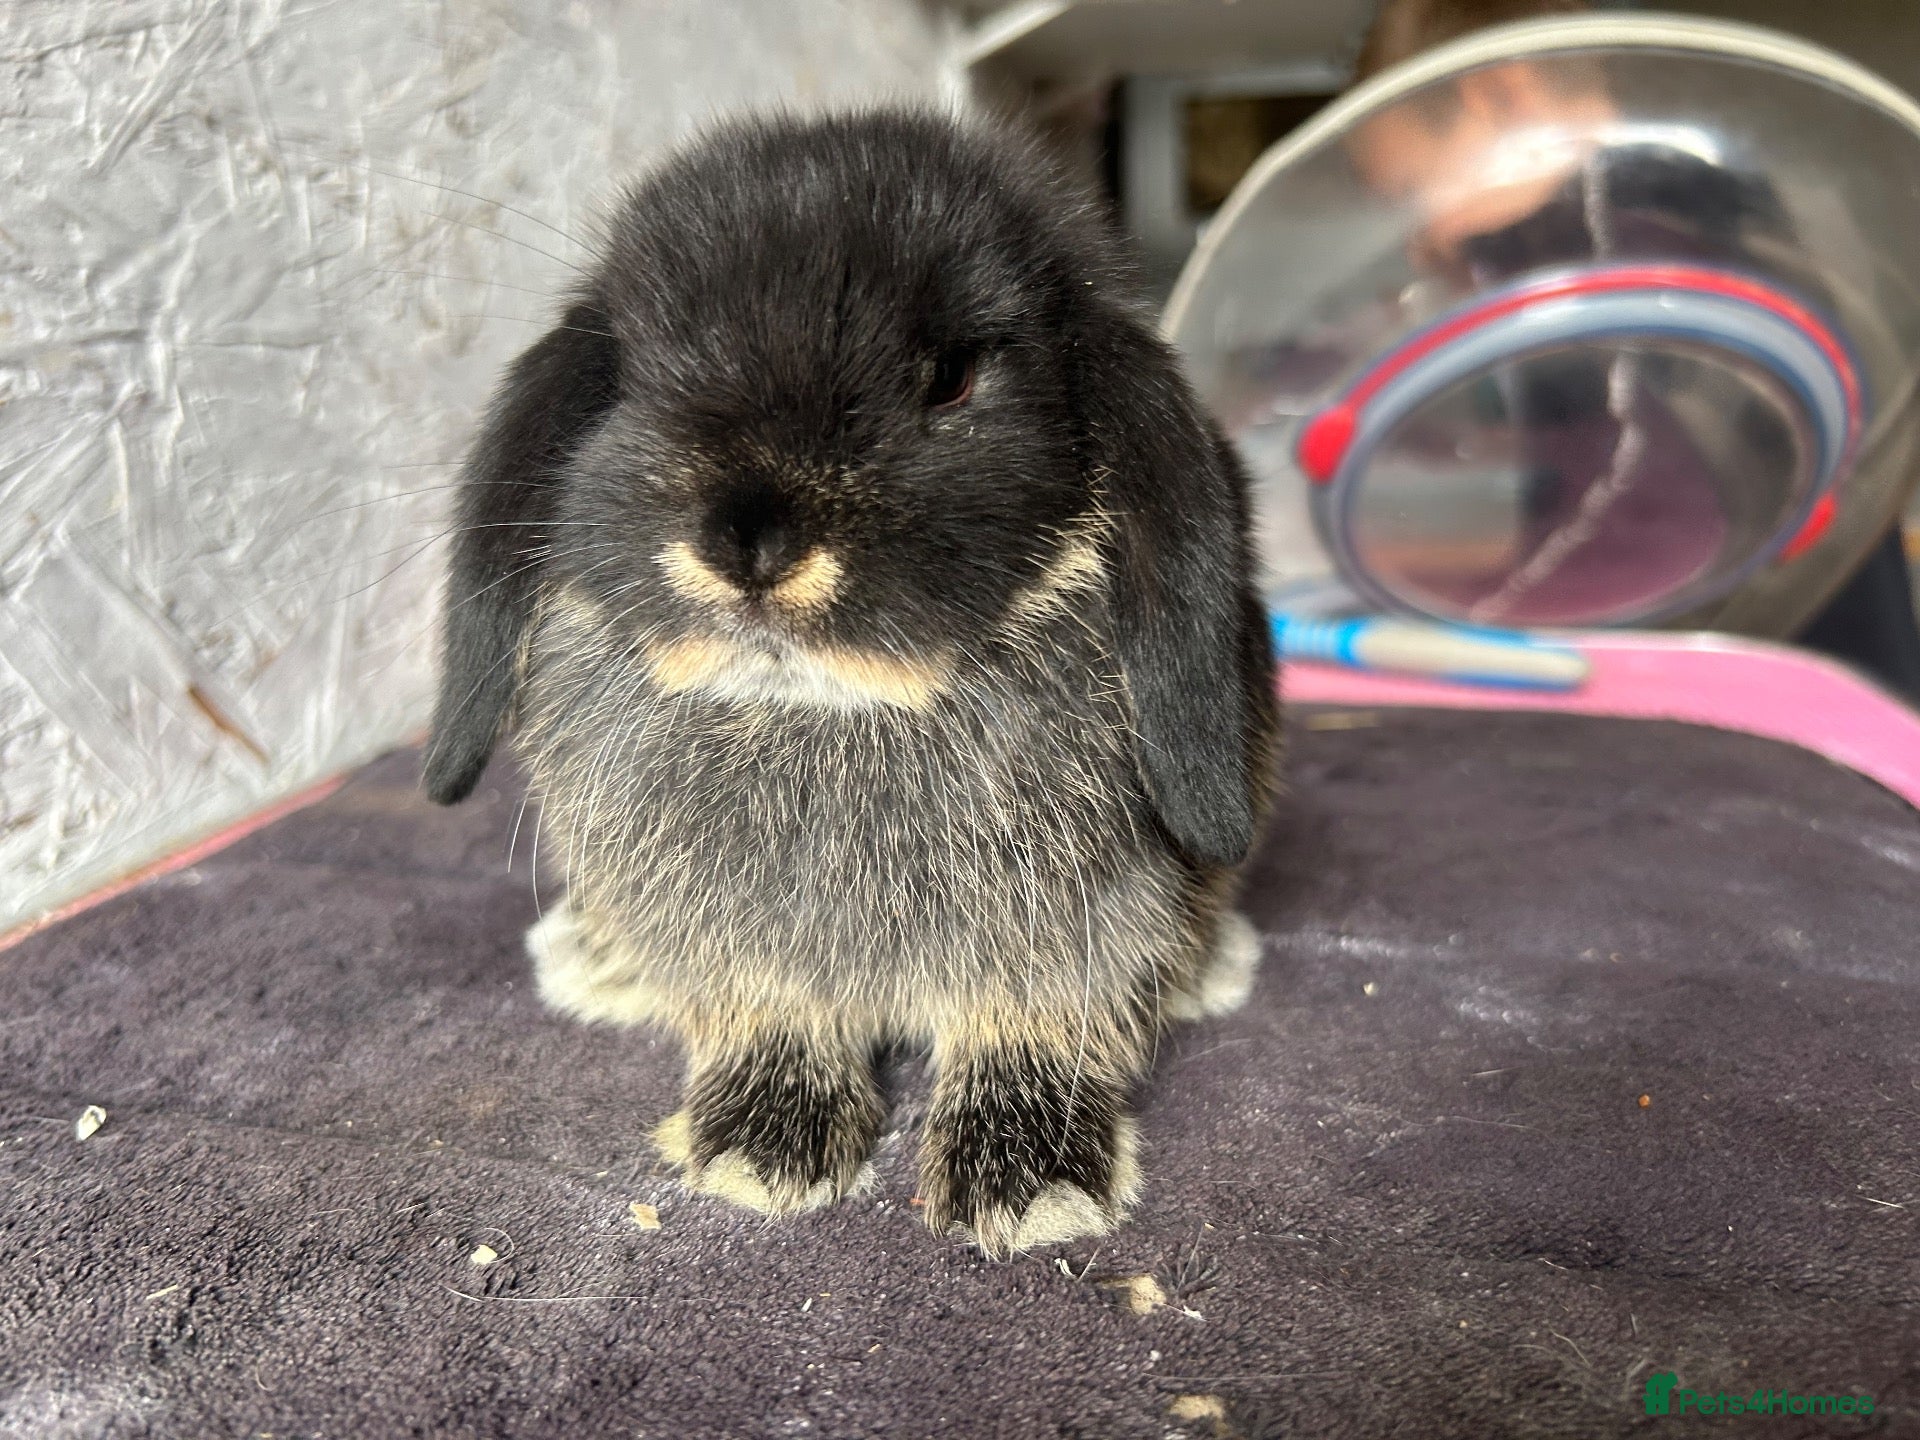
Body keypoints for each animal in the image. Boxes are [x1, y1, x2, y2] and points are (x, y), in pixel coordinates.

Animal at [422, 107, 1280, 1257]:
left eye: (952, 377)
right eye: (635, 377)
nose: (747, 541)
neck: (826, 710)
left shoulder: (1082, 928)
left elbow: (1034, 1023)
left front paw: (1027, 1181)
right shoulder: (739, 949)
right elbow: (767, 1011)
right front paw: (761, 1149)